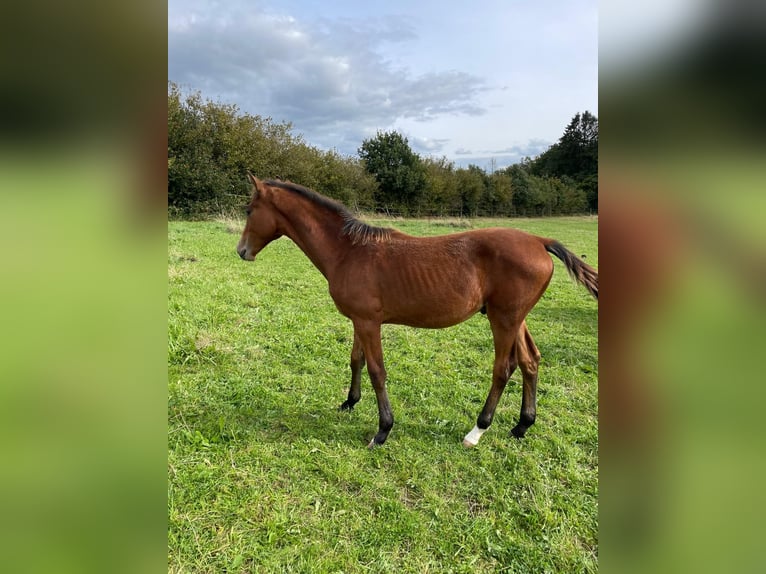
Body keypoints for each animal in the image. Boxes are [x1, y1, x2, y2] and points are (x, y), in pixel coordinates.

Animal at [236, 173, 600, 452]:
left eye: (250, 210)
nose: (242, 251)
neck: (349, 251)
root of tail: (539, 240)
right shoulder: (358, 320)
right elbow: (356, 360)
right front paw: (349, 402)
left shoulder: (369, 322)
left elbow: (377, 371)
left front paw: (383, 430)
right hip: (515, 318)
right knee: (530, 361)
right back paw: (522, 425)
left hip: (504, 319)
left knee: (503, 368)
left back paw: (476, 431)